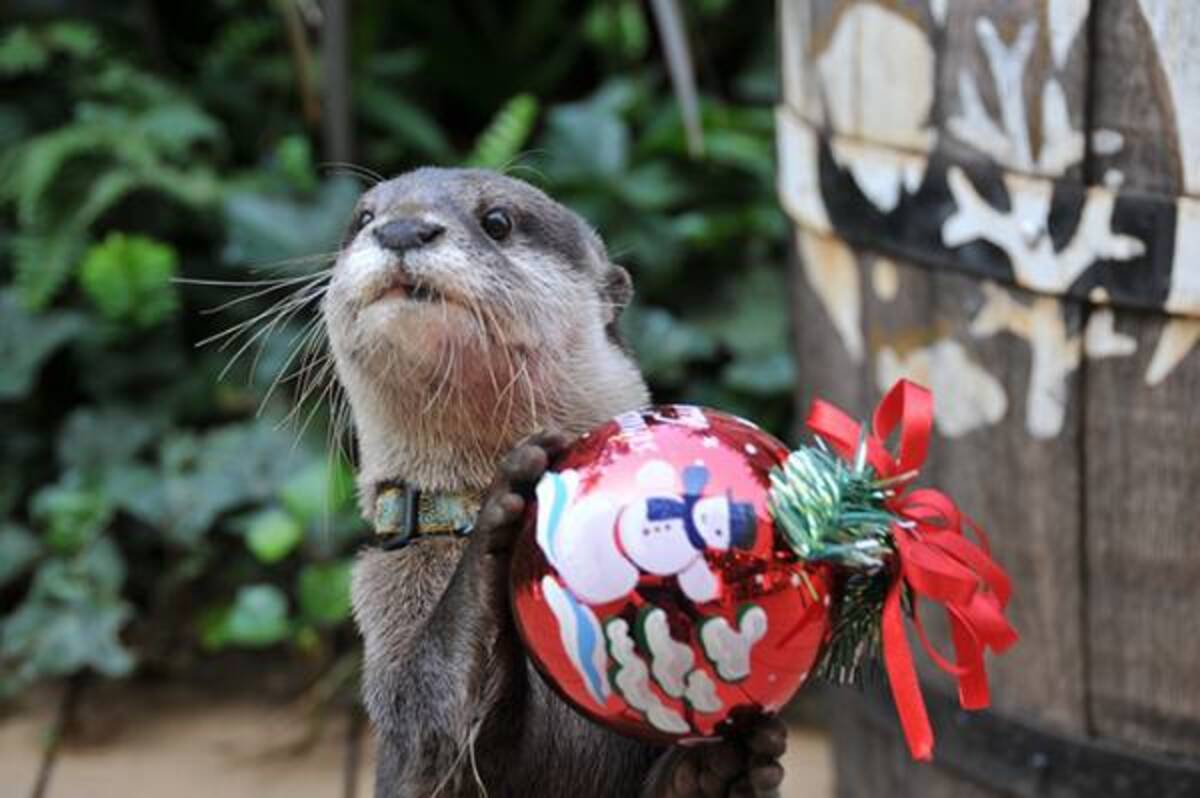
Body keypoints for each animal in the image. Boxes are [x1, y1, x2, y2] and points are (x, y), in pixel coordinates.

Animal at [319, 164, 787, 792]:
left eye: (497, 220)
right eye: (363, 217)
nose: (401, 229)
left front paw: (710, 770)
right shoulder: (390, 658)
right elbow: (435, 720)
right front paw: (500, 526)